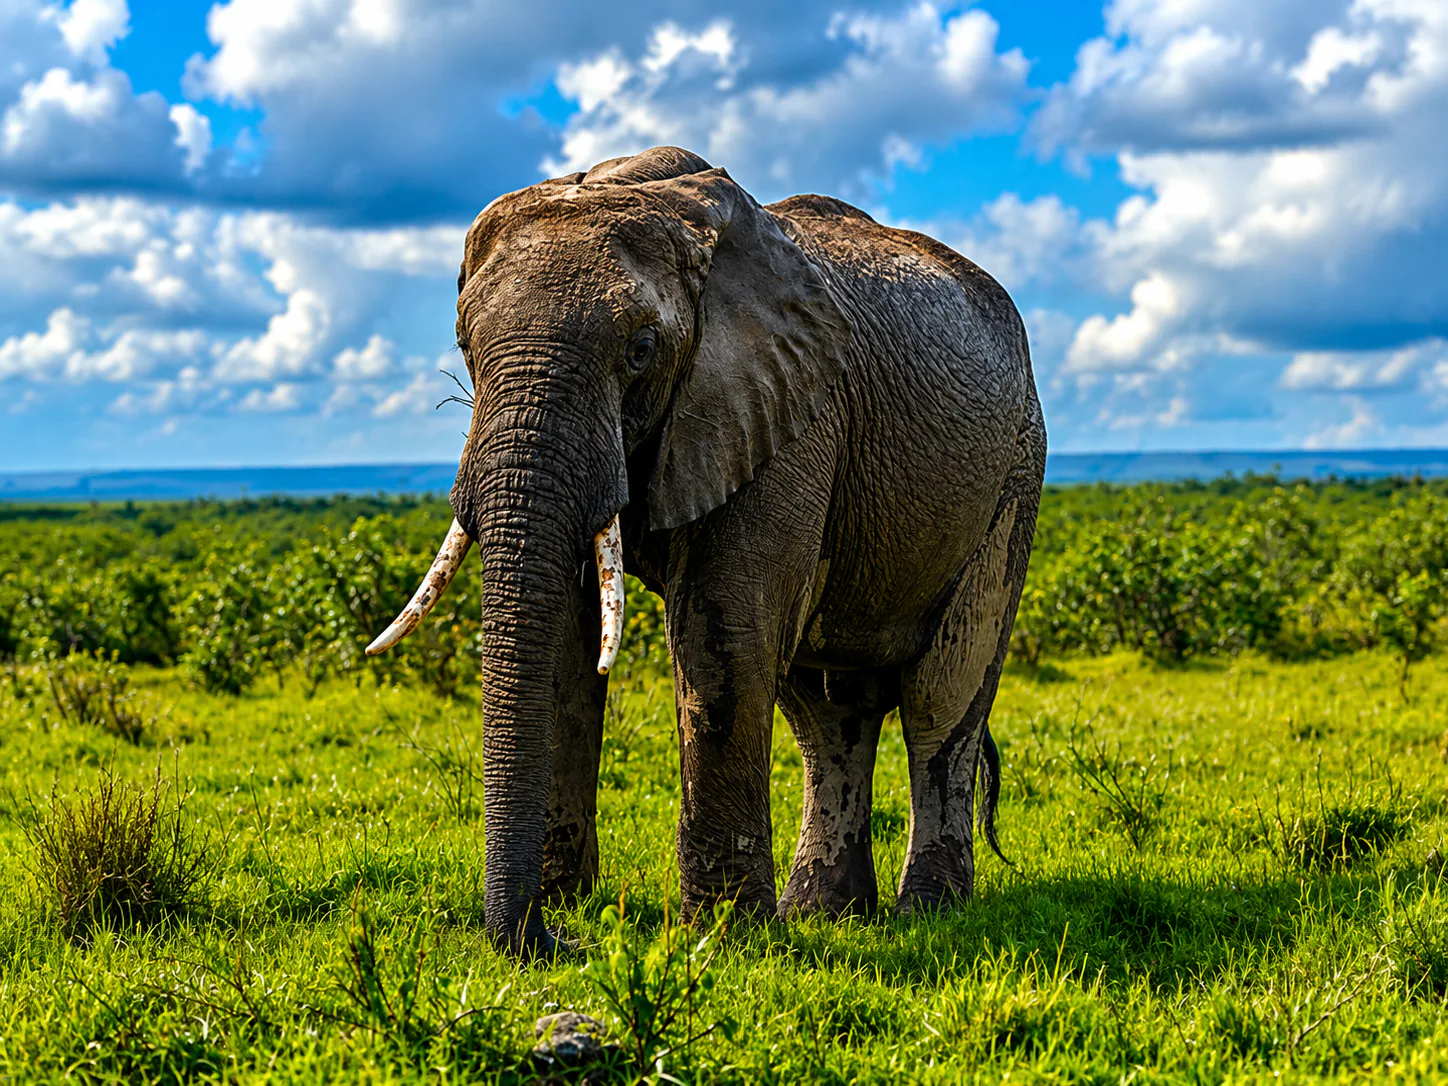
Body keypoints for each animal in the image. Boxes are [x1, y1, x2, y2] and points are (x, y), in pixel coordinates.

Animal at [367, 146, 1046, 955]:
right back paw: (823, 916)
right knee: (828, 713)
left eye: (640, 351)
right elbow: (565, 646)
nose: (557, 942)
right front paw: (570, 904)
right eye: (466, 347)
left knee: (942, 693)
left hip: (1014, 473)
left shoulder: (788, 414)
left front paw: (722, 940)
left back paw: (927, 914)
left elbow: (721, 635)